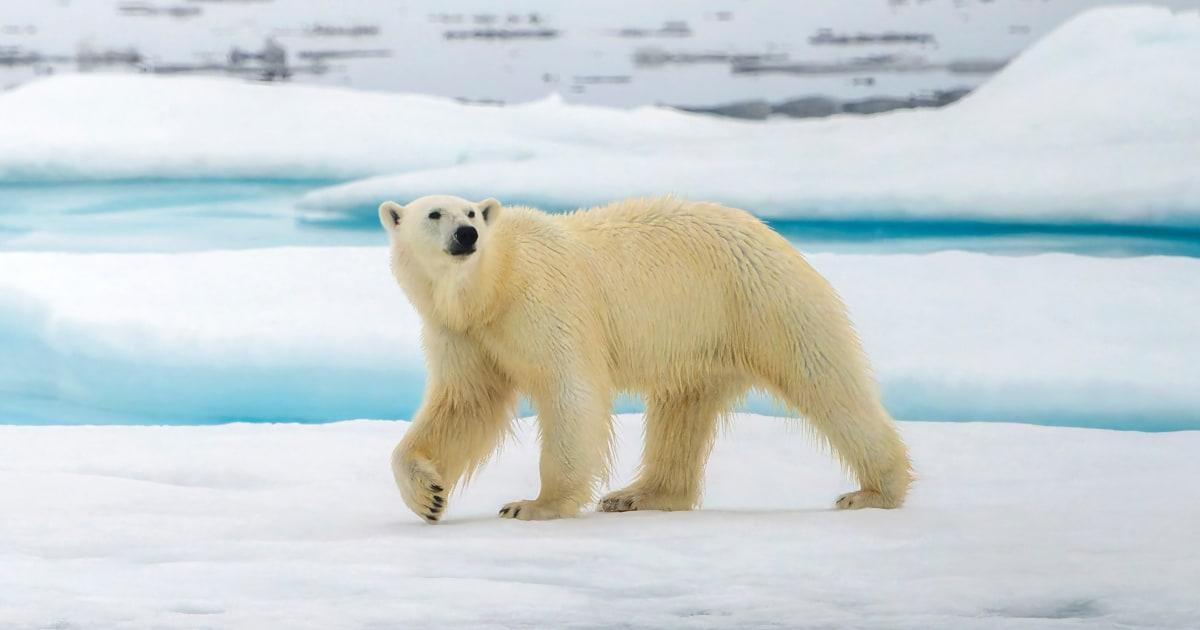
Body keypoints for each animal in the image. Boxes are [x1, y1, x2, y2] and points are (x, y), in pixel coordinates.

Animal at [379, 194, 912, 522]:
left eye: (470, 211)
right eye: (435, 214)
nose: (467, 234)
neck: (494, 284)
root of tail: (772, 235)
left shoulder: (545, 303)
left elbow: (570, 391)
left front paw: (533, 505)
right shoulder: (463, 333)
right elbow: (465, 403)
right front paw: (428, 497)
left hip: (762, 301)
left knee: (826, 382)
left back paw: (873, 491)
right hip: (701, 339)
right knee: (681, 411)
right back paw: (639, 494)